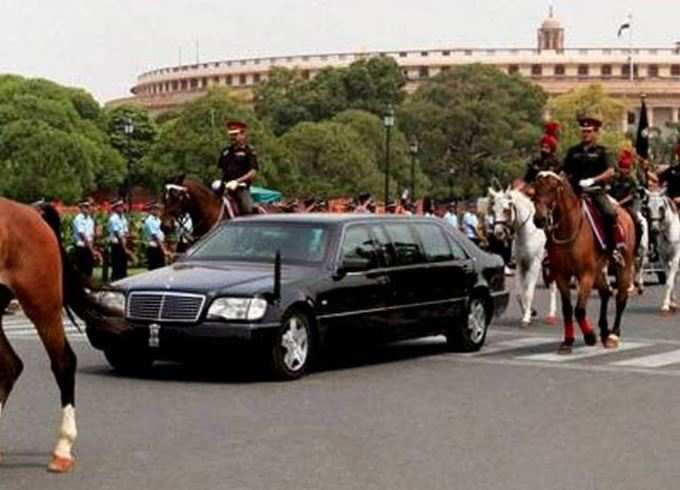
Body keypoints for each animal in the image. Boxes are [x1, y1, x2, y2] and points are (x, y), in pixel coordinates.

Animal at [488, 188, 556, 326]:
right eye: (493, 210)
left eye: (506, 209)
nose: (498, 233)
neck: (527, 232)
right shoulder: (521, 264)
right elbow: (520, 293)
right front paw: (529, 311)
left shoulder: (534, 264)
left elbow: (529, 292)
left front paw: (526, 317)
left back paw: (552, 314)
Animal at [532, 172, 636, 352]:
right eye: (536, 190)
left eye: (552, 189)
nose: (539, 219)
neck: (569, 228)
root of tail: (624, 211)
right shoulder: (561, 275)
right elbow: (567, 309)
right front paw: (568, 341)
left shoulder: (585, 275)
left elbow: (579, 310)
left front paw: (589, 336)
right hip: (598, 271)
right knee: (606, 293)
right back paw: (604, 331)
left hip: (623, 266)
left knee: (620, 298)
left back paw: (613, 335)